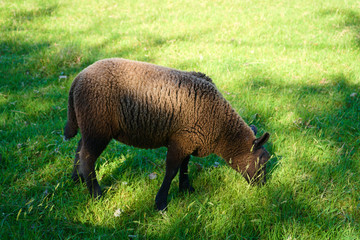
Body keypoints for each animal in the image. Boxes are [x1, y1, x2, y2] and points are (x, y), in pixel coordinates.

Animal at [64, 57, 270, 210]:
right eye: (262, 161)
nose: (263, 186)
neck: (220, 128)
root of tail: (78, 78)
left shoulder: (188, 140)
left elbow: (185, 166)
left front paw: (186, 188)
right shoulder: (180, 142)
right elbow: (171, 171)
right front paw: (161, 203)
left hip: (89, 125)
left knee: (79, 148)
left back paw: (76, 179)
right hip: (97, 126)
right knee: (88, 157)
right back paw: (96, 194)